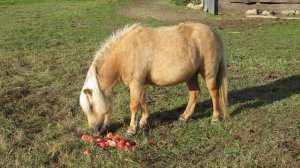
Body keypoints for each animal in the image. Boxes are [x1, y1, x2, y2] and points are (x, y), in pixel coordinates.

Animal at [79, 22, 227, 135]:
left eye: (91, 106)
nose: (93, 131)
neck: (124, 53)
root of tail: (214, 33)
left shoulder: (135, 83)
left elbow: (134, 104)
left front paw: (132, 129)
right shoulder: (139, 84)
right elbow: (142, 101)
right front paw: (143, 122)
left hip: (208, 73)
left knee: (214, 93)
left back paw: (215, 118)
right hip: (191, 75)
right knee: (194, 93)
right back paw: (184, 117)